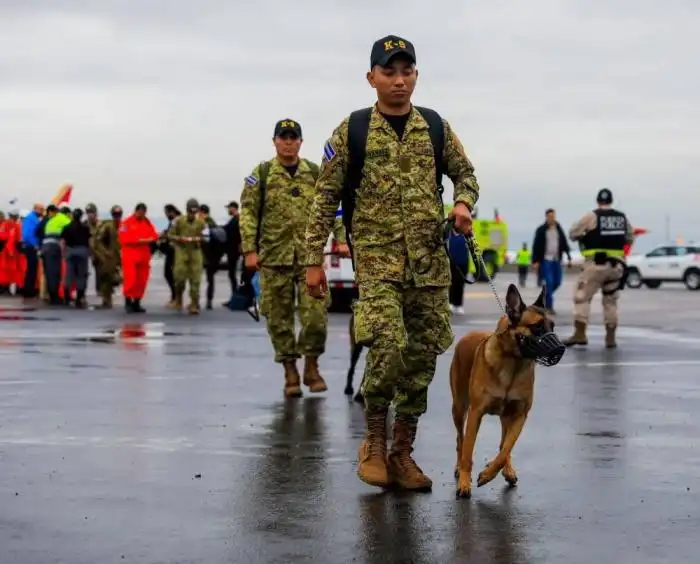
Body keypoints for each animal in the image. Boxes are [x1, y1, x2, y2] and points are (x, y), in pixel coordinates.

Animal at [452, 284, 568, 500]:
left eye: (553, 326)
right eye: (537, 327)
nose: (561, 349)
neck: (513, 362)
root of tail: (467, 335)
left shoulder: (520, 415)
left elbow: (506, 447)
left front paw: (488, 474)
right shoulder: (475, 413)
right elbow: (468, 450)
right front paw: (464, 482)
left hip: (506, 416)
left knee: (503, 445)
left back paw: (507, 470)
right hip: (459, 408)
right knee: (460, 440)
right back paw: (459, 467)